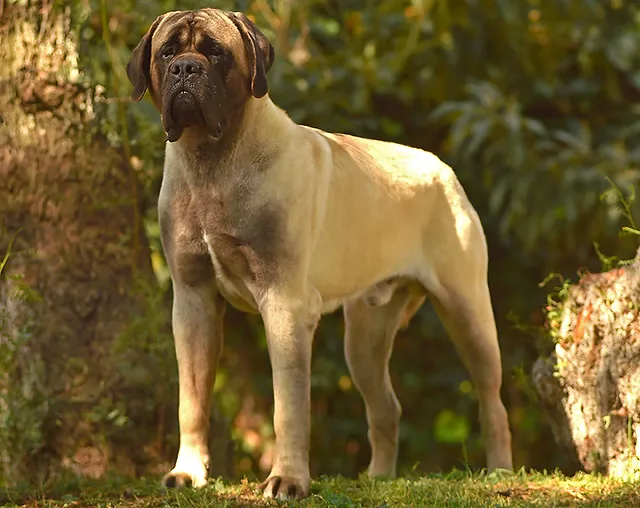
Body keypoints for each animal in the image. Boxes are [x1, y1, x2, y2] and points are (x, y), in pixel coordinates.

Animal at [127, 7, 512, 500]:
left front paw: (288, 479)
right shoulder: (193, 300)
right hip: (365, 335)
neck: (213, 163)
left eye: (215, 53)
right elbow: (191, 400)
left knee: (491, 398)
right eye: (168, 52)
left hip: (467, 311)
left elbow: (288, 406)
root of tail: (443, 168)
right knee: (386, 406)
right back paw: (379, 477)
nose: (186, 69)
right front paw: (189, 472)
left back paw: (499, 471)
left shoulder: (285, 304)